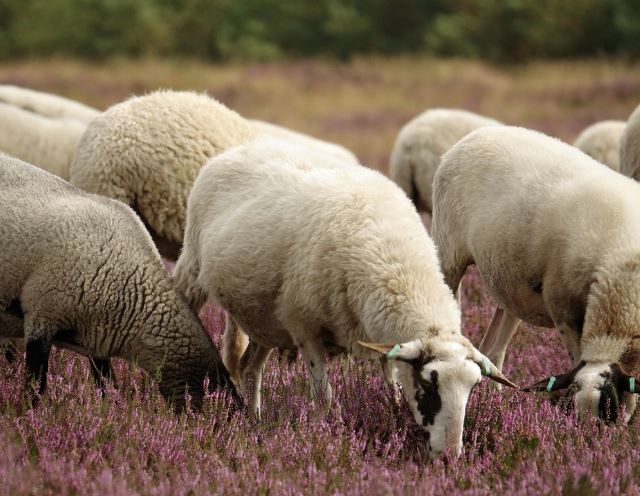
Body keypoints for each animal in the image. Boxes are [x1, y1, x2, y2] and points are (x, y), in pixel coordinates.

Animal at [0, 153, 241, 411]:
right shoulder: (42, 316)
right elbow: (36, 386)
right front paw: (25, 412)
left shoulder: (95, 339)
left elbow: (107, 386)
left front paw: (108, 410)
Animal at [173, 137, 515, 458]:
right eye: (429, 384)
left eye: (472, 387)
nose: (450, 456)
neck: (396, 263)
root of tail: (237, 151)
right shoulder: (305, 328)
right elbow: (324, 398)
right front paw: (321, 436)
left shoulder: (378, 338)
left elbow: (391, 389)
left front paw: (394, 418)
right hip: (193, 265)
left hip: (264, 317)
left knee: (248, 367)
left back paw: (255, 422)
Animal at [432, 125, 640, 423]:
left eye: (609, 409)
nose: (591, 435)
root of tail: (479, 133)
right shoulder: (564, 309)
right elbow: (576, 359)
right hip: (448, 254)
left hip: (511, 284)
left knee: (493, 348)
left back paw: (494, 400)